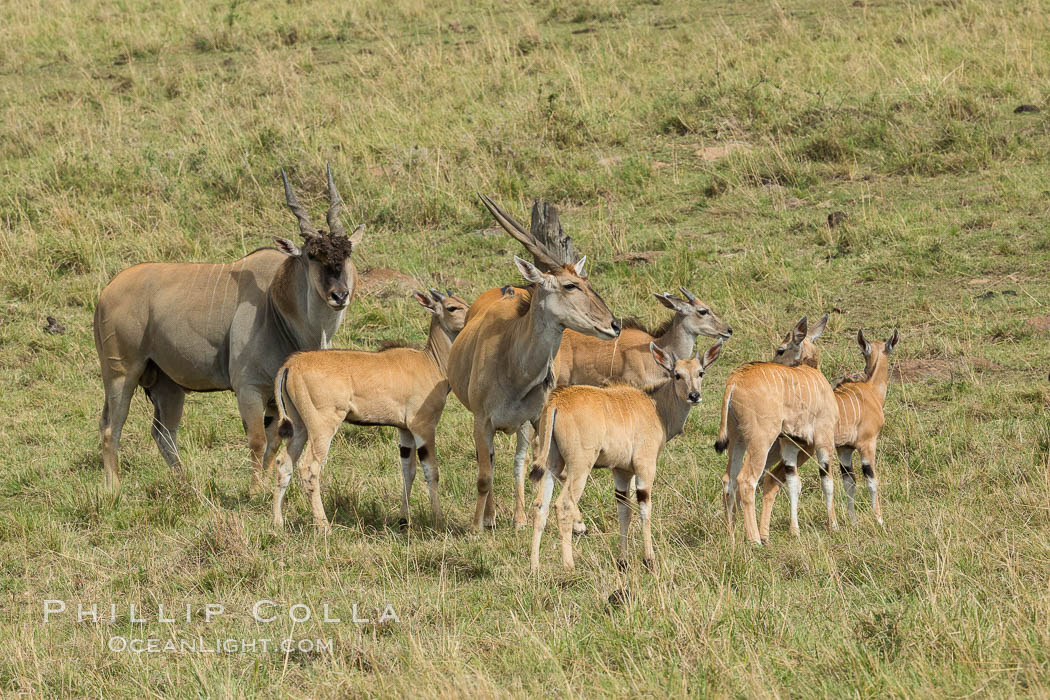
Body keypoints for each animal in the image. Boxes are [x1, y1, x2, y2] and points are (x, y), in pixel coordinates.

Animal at [94, 164, 365, 493]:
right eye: (313, 255)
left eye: (347, 253)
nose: (340, 295)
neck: (277, 301)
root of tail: (106, 291)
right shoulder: (248, 388)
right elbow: (257, 440)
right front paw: (254, 490)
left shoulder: (273, 397)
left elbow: (274, 441)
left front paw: (265, 486)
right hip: (121, 374)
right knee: (111, 428)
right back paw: (114, 489)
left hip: (167, 384)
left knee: (163, 432)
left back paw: (186, 485)